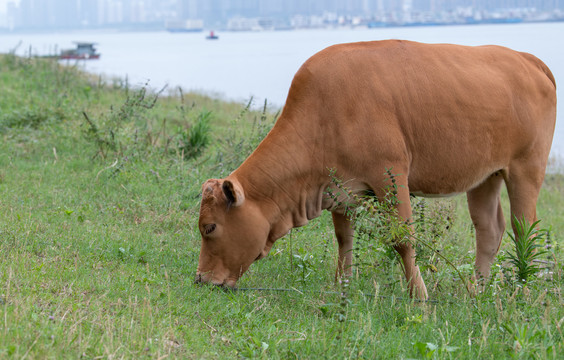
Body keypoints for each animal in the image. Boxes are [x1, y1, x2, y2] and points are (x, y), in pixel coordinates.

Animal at [195, 39, 556, 300]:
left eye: (209, 228)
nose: (201, 279)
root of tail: (525, 58)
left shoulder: (391, 175)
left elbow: (403, 239)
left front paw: (419, 297)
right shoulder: (339, 188)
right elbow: (344, 238)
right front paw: (341, 285)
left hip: (527, 166)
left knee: (525, 229)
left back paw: (524, 291)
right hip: (485, 176)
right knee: (489, 230)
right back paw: (475, 291)